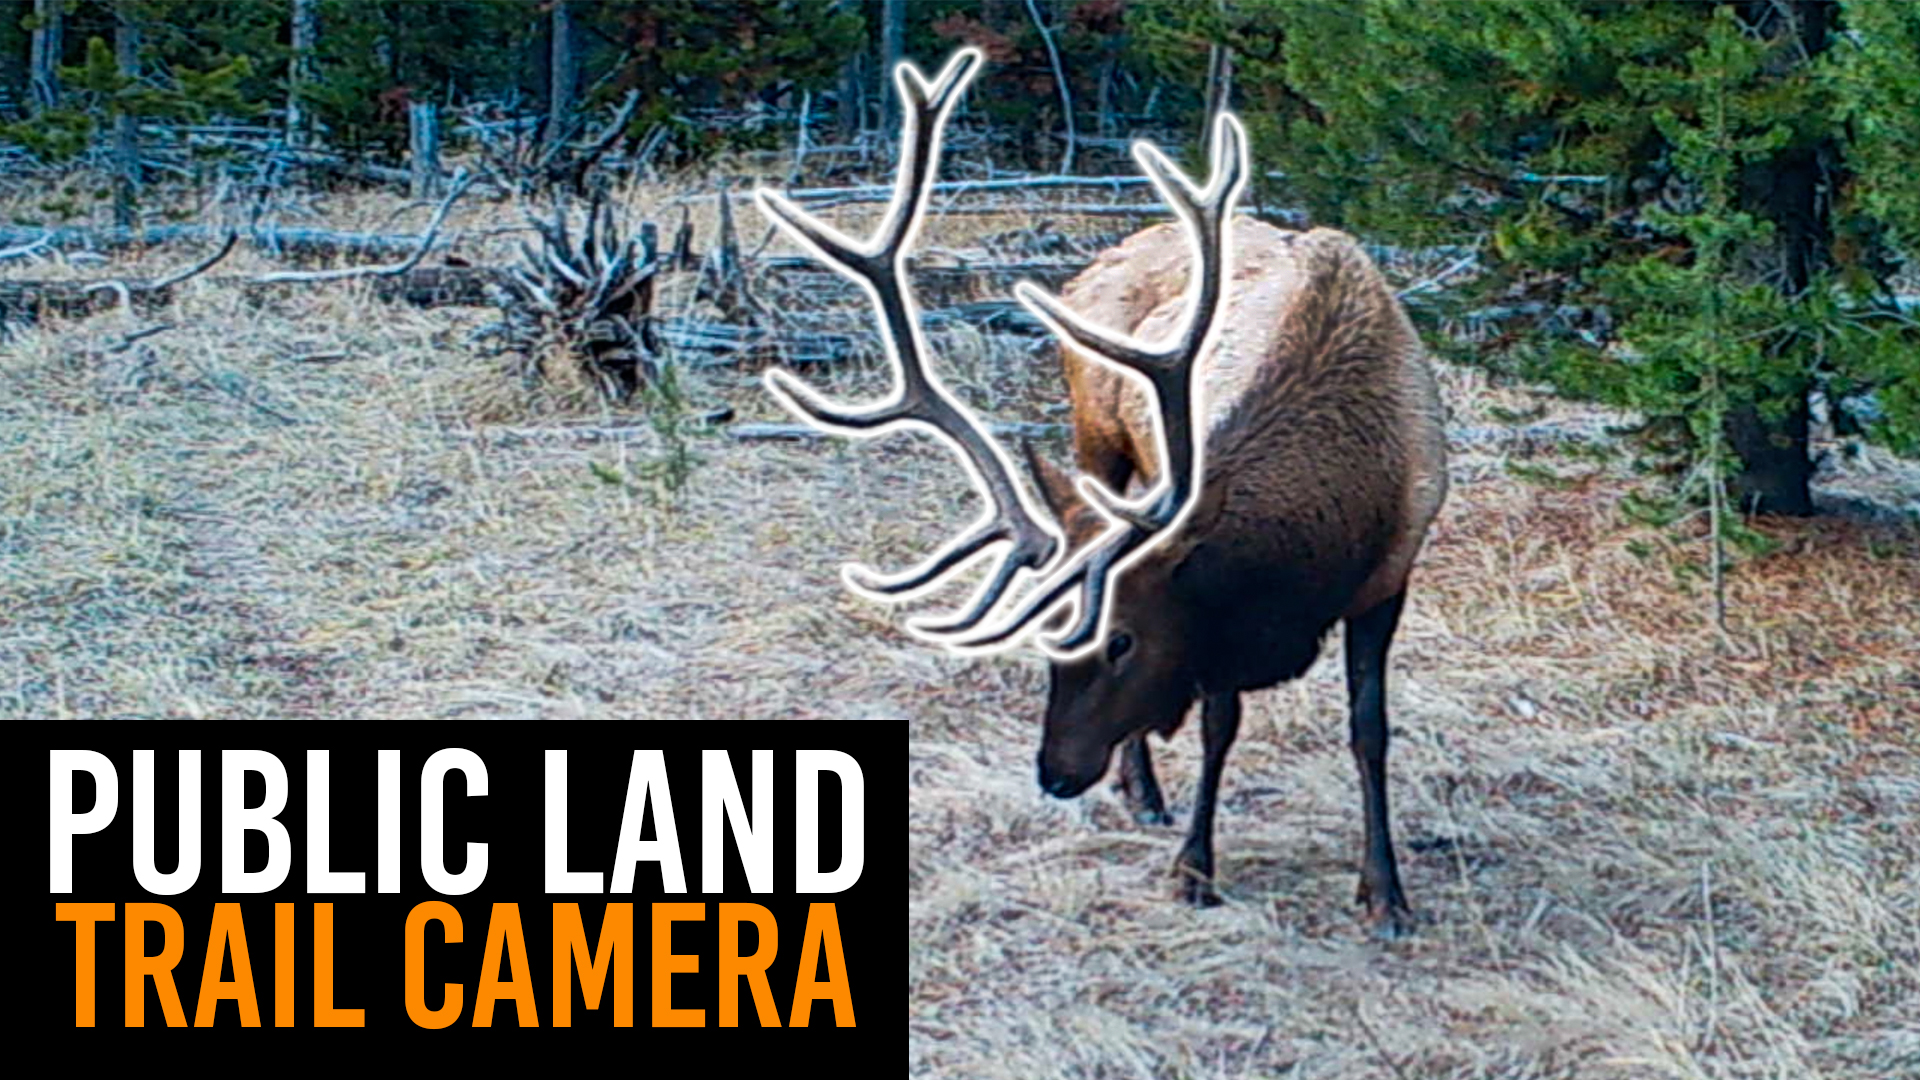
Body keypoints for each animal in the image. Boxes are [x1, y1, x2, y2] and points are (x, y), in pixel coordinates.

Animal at [755, 50, 1448, 937]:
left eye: (1121, 642)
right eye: (1050, 641)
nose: (1053, 772)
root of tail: (1113, 249)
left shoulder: (1390, 572)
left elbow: (1369, 731)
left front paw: (1385, 892)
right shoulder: (1215, 601)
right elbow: (1221, 724)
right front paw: (1194, 867)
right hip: (1099, 437)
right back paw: (1142, 788)